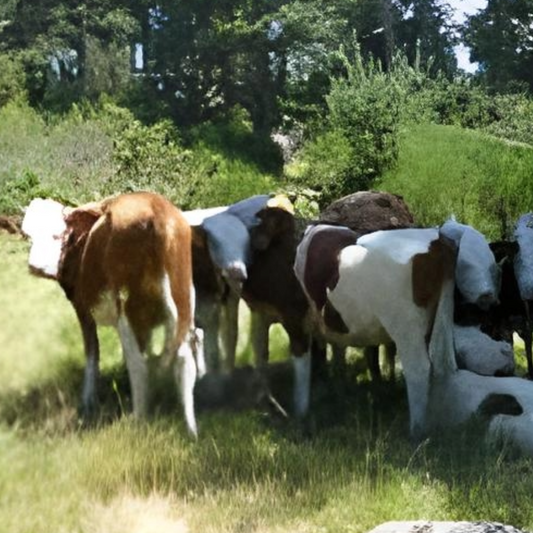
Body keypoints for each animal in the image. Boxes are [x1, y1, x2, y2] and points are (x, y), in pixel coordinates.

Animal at [21, 193, 202, 434]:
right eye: (28, 236)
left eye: (57, 235)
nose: (35, 267)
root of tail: (155, 206)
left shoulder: (82, 308)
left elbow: (92, 353)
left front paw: (87, 403)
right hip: (183, 295)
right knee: (183, 358)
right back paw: (191, 430)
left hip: (126, 308)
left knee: (138, 364)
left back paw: (138, 420)